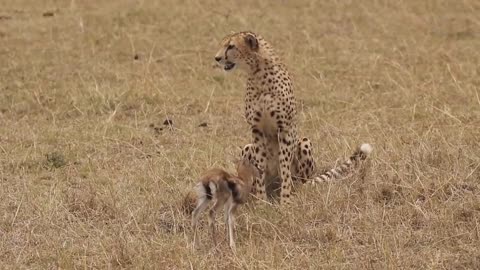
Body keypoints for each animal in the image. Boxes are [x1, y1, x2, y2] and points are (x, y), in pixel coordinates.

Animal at [213, 30, 372, 204]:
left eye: (231, 46)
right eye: (223, 44)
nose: (217, 58)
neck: (257, 73)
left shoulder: (285, 128)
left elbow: (285, 167)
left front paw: (286, 201)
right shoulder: (256, 129)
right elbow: (260, 168)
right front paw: (261, 201)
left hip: (304, 143)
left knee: (298, 179)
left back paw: (296, 190)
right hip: (248, 147)